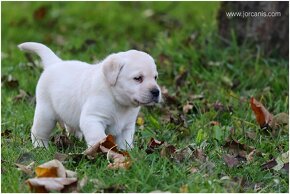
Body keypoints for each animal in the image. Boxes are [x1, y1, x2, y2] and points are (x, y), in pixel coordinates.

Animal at [18, 41, 161, 149]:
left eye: (155, 77)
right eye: (138, 78)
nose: (156, 92)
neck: (118, 100)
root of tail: (55, 63)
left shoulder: (127, 126)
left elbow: (125, 143)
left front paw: (126, 154)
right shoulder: (93, 118)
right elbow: (98, 138)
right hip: (45, 114)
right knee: (38, 131)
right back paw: (40, 146)